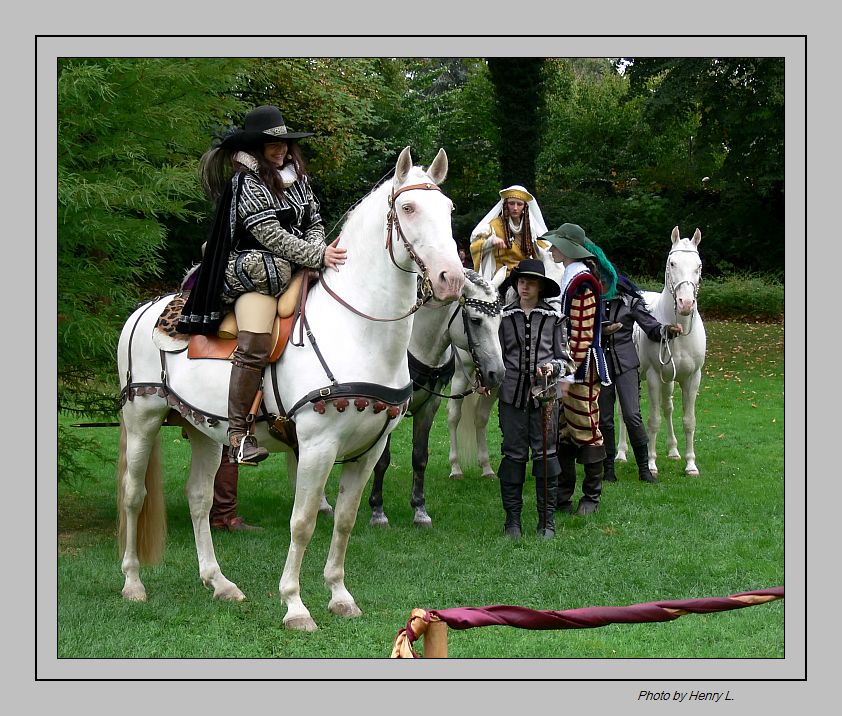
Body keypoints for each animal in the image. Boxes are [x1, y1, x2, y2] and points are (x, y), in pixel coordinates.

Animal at [115, 147, 462, 632]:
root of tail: (143, 311)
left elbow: (345, 521)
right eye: (409, 208)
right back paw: (133, 584)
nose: (452, 278)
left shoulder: (368, 450)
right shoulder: (316, 447)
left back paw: (219, 583)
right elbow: (303, 523)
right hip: (142, 418)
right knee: (134, 495)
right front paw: (295, 606)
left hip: (204, 430)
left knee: (199, 498)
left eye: (448, 210)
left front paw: (340, 596)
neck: (357, 331)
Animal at [612, 227, 704, 478]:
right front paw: (651, 464)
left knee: (667, 408)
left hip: (669, 380)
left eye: (699, 265)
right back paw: (621, 453)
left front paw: (690, 464)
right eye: (672, 263)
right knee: (623, 412)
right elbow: (653, 421)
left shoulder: (692, 378)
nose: (685, 303)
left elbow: (689, 420)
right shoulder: (654, 376)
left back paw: (673, 450)